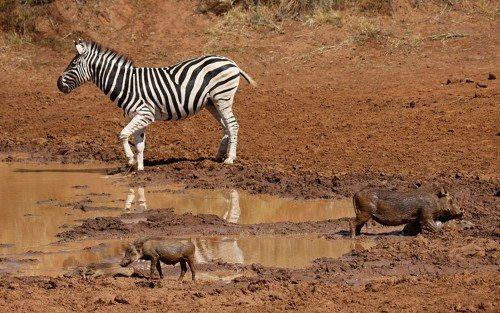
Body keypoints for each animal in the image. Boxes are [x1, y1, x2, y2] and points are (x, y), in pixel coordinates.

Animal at [56, 40, 256, 171]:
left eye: (73, 64)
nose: (58, 84)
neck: (127, 84)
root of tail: (231, 62)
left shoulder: (144, 113)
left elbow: (123, 135)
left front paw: (130, 161)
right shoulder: (137, 116)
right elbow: (139, 144)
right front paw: (140, 169)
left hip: (223, 97)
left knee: (233, 125)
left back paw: (230, 159)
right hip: (212, 102)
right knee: (225, 125)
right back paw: (220, 155)